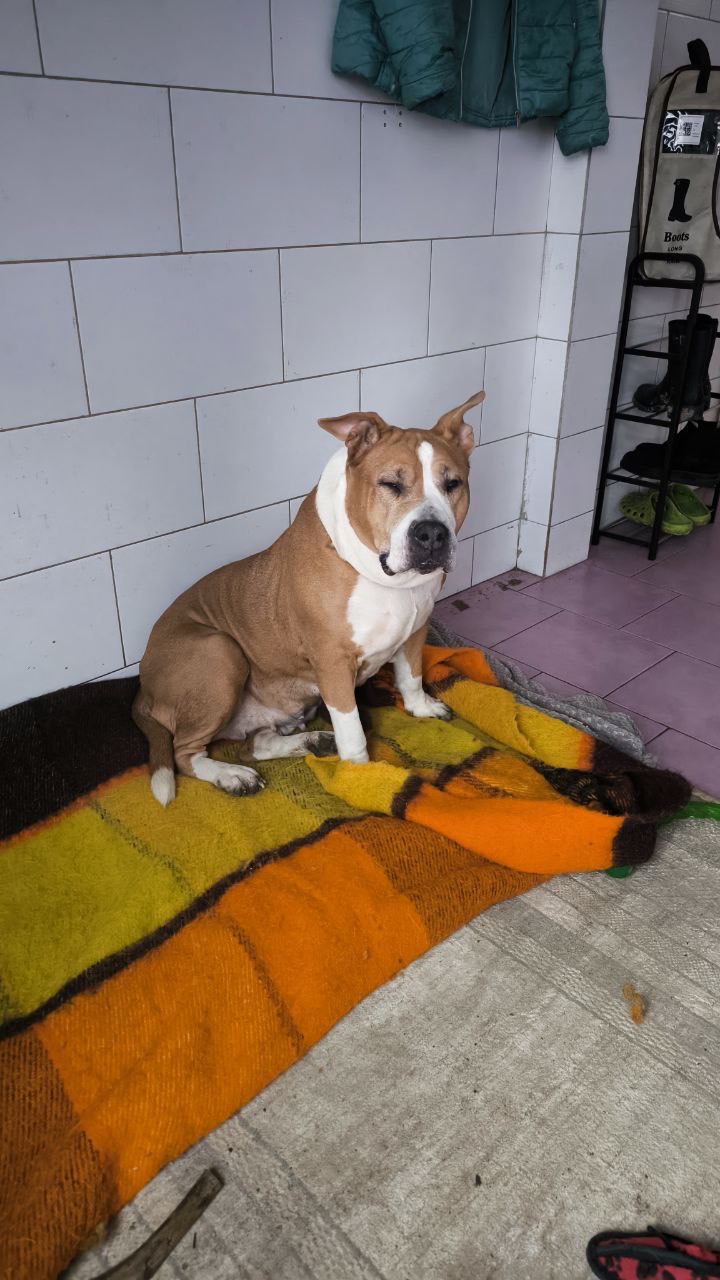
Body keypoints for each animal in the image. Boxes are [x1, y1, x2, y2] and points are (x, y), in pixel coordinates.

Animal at [132, 391, 484, 805]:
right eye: (390, 484)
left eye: (453, 483)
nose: (431, 533)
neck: (388, 580)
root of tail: (143, 688)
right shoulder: (333, 663)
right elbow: (353, 730)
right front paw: (362, 777)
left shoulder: (417, 628)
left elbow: (410, 676)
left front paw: (421, 708)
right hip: (220, 652)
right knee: (184, 753)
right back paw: (230, 775)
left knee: (256, 744)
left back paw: (309, 741)